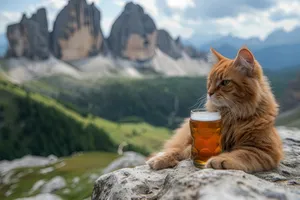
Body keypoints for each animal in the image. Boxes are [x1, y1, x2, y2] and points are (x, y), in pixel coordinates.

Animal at [147, 46, 284, 173]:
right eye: (210, 81)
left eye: (225, 82)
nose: (209, 92)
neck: (231, 115)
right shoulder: (191, 142)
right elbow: (180, 150)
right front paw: (161, 159)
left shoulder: (263, 149)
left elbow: (241, 154)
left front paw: (219, 159)